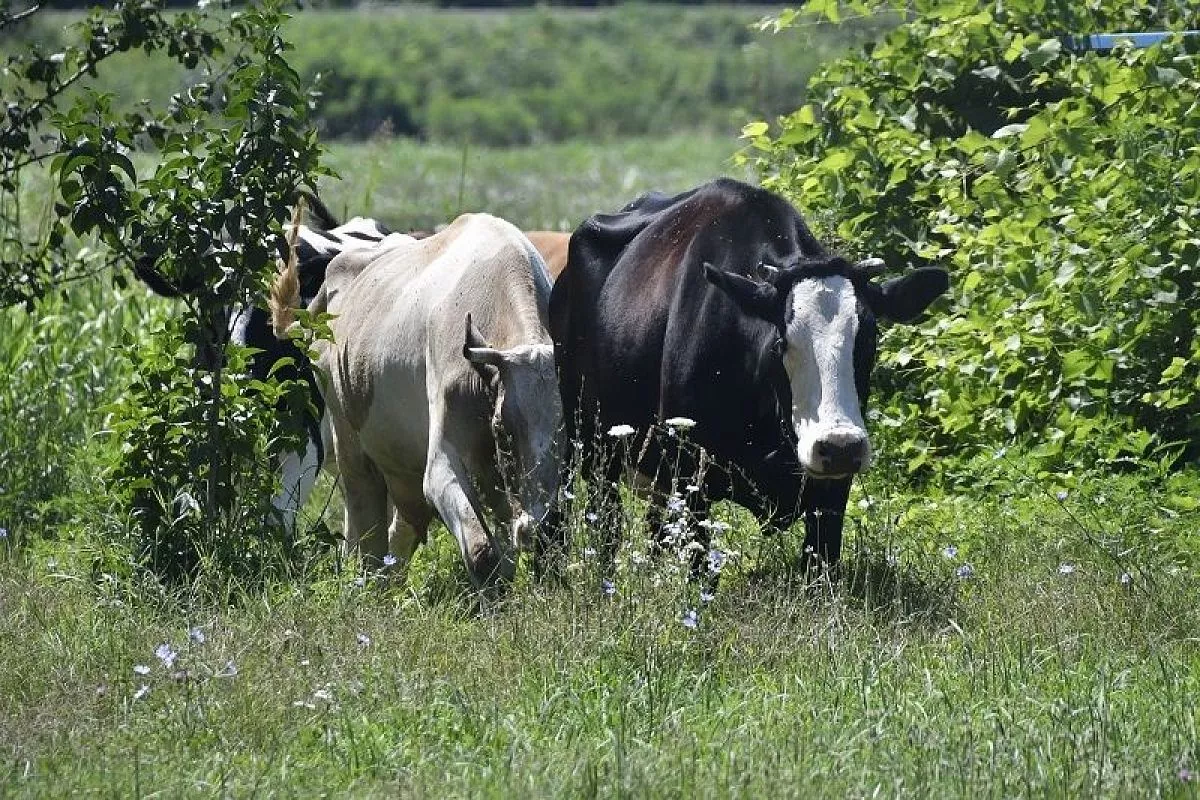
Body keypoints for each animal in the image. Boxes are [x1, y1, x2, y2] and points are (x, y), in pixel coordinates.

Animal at [274, 214, 564, 587]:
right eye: (501, 427)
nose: (533, 527)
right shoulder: (440, 466)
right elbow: (483, 552)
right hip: (350, 446)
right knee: (364, 533)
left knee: (399, 534)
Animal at [549, 179, 950, 568]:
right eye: (780, 343)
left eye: (868, 339)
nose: (839, 446)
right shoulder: (691, 476)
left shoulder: (832, 493)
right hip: (587, 444)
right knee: (600, 523)